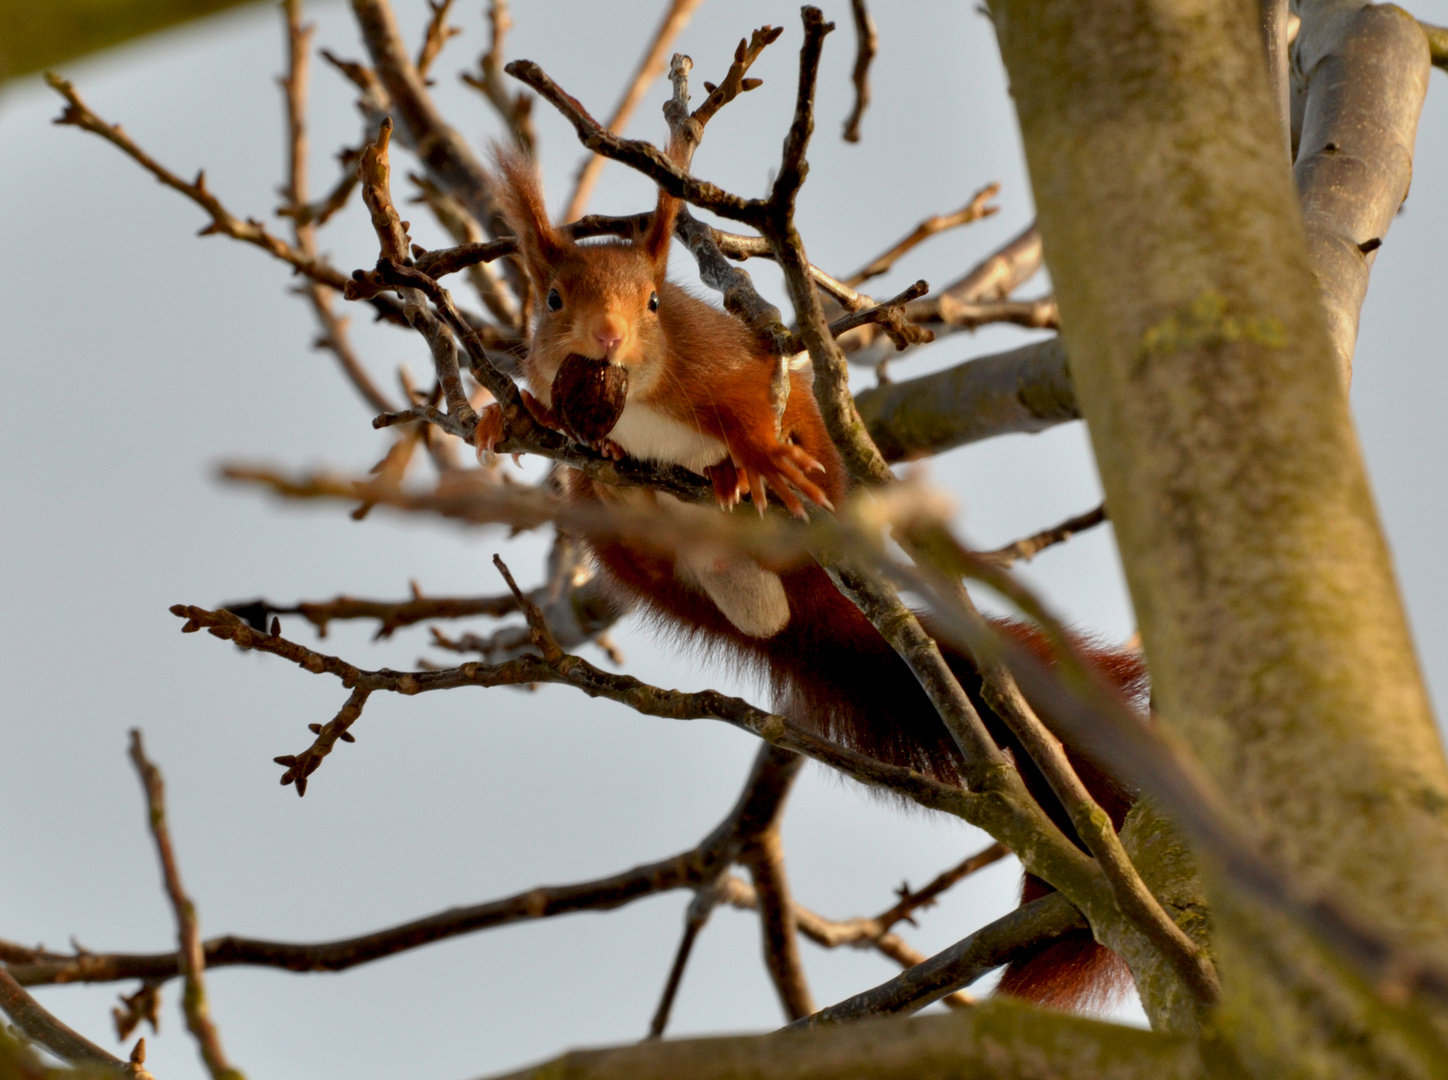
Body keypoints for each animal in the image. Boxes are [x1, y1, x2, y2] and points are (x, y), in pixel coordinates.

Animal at [472, 151, 1141, 1007]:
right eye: (553, 299)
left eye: (654, 301)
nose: (608, 336)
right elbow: (545, 408)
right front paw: (504, 413)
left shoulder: (718, 362)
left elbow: (744, 408)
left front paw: (755, 455)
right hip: (616, 532)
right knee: (617, 518)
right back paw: (627, 490)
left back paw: (738, 479)